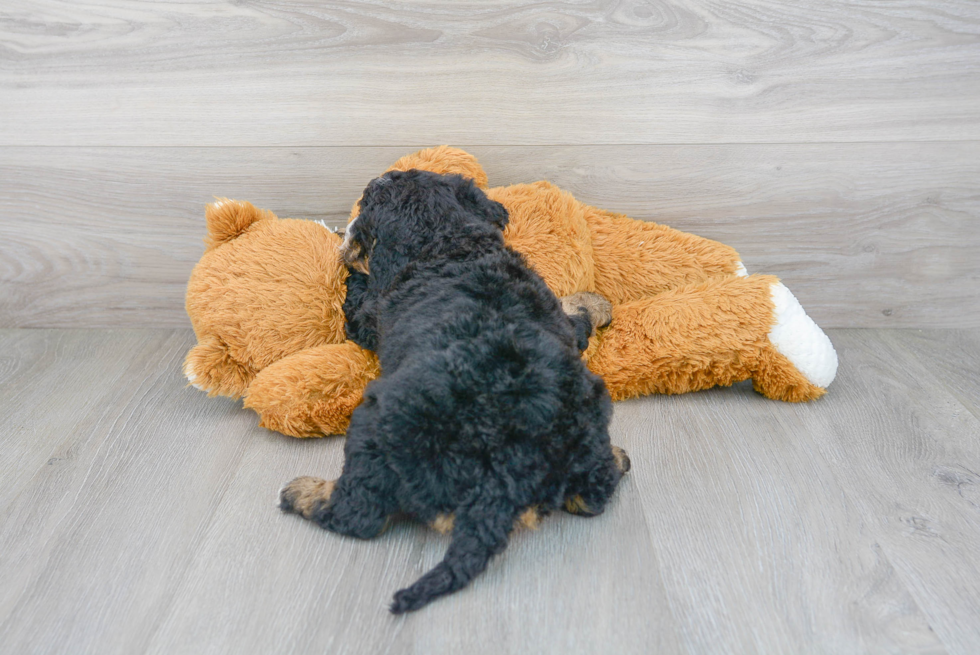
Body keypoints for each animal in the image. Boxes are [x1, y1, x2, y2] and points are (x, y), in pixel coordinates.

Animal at [278, 170, 628, 616]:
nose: (345, 232)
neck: (447, 243)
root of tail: (502, 478)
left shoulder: (369, 314)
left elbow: (357, 293)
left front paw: (350, 258)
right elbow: (574, 315)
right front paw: (597, 303)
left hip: (376, 421)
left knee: (358, 514)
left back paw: (302, 493)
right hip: (589, 410)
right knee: (592, 496)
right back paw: (616, 459)